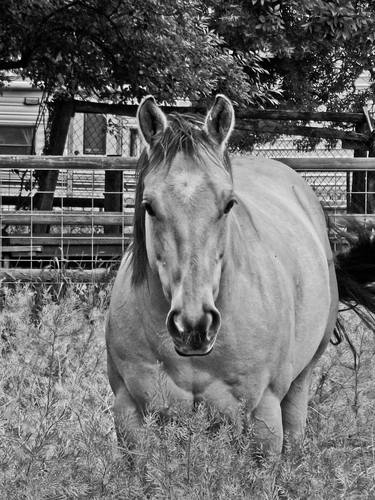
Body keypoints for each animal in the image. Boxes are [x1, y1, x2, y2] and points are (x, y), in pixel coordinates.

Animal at [104, 94, 375, 454]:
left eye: (229, 203)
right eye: (149, 205)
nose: (193, 326)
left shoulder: (264, 419)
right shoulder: (131, 413)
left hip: (299, 385)